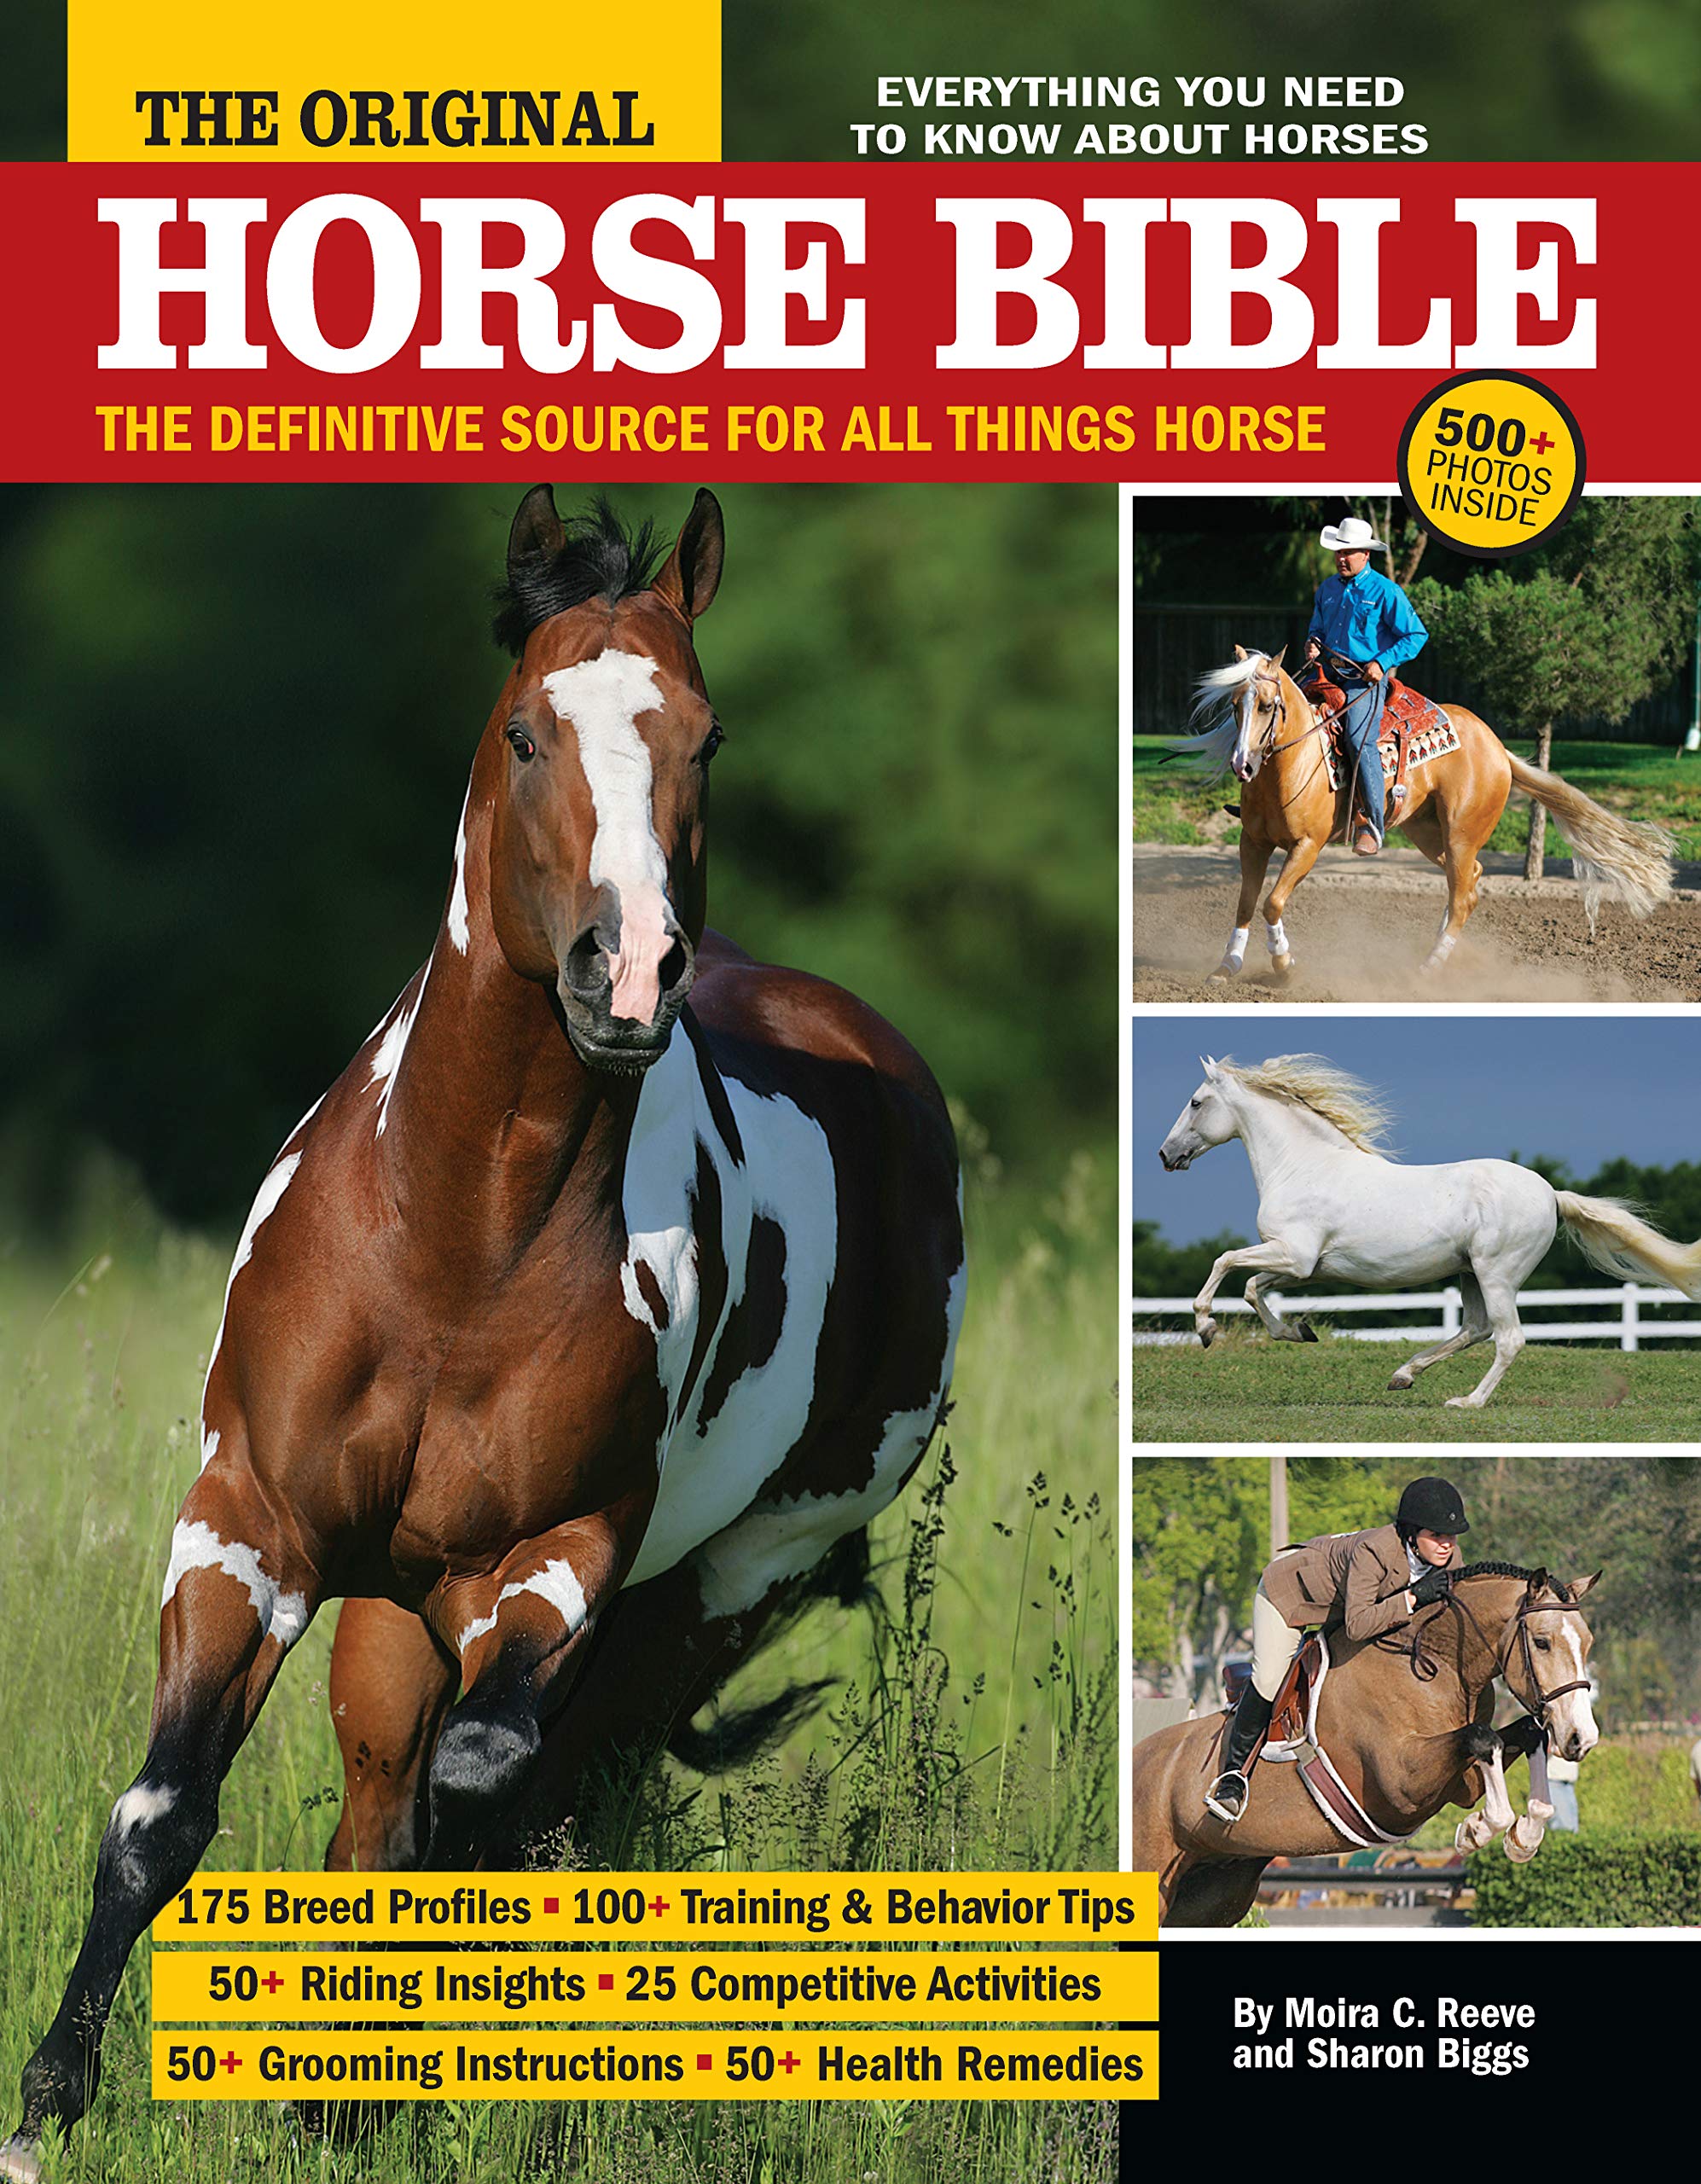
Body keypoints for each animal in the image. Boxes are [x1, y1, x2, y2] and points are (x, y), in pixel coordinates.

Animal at [2, 488, 967, 2178]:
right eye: (525, 731)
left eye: (706, 739)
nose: (626, 972)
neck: (455, 1243)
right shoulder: (247, 1526)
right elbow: (163, 1816)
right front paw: (50, 2107)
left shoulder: (559, 1557)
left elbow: (485, 1797)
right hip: (397, 1609)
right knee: (391, 1812)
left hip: (716, 1589)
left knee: (559, 1807)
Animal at [1128, 1565, 1601, 1927]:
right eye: (1542, 1642)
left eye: (1589, 1643)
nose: (1582, 1738)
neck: (1434, 1663)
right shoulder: (1401, 1785)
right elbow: (1484, 1738)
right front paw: (1478, 1830)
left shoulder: (1458, 1779)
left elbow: (1524, 1734)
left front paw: (1524, 1834)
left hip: (1214, 1893)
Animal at [1156, 1053, 1701, 1408]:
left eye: (1196, 1102)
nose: (1165, 1155)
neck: (1304, 1165)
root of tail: (1551, 1194)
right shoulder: (1301, 1265)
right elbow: (1252, 1287)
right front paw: (1297, 1332)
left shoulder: (1293, 1254)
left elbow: (1225, 1263)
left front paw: (1205, 1329)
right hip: (1470, 1273)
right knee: (1476, 1329)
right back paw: (1404, 1376)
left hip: (1496, 1273)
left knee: (1508, 1339)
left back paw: (1467, 1402)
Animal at [1175, 647, 1674, 982]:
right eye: (1233, 705)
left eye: (1265, 705)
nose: (1242, 764)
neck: (1294, 763)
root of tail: (1498, 749)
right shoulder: (1253, 843)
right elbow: (1245, 902)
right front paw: (1227, 965)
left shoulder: (1307, 847)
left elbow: (1272, 902)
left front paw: (1283, 964)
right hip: (1429, 834)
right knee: (1468, 884)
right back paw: (1438, 948)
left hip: (1459, 833)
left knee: (1463, 892)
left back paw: (1431, 964)